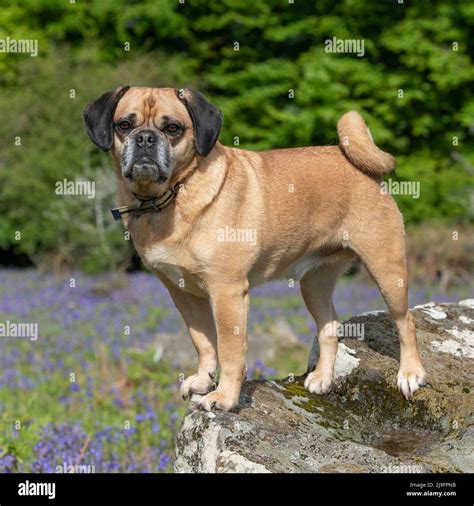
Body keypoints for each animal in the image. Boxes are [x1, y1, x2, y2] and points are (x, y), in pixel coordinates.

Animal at [81, 86, 426, 412]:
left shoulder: (227, 292)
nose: (145, 138)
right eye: (124, 125)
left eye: (173, 128)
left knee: (405, 323)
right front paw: (203, 379)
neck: (169, 196)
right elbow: (203, 342)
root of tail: (351, 161)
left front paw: (224, 397)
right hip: (314, 283)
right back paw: (322, 378)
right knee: (329, 326)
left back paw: (410, 374)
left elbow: (230, 351)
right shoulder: (183, 293)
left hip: (387, 269)